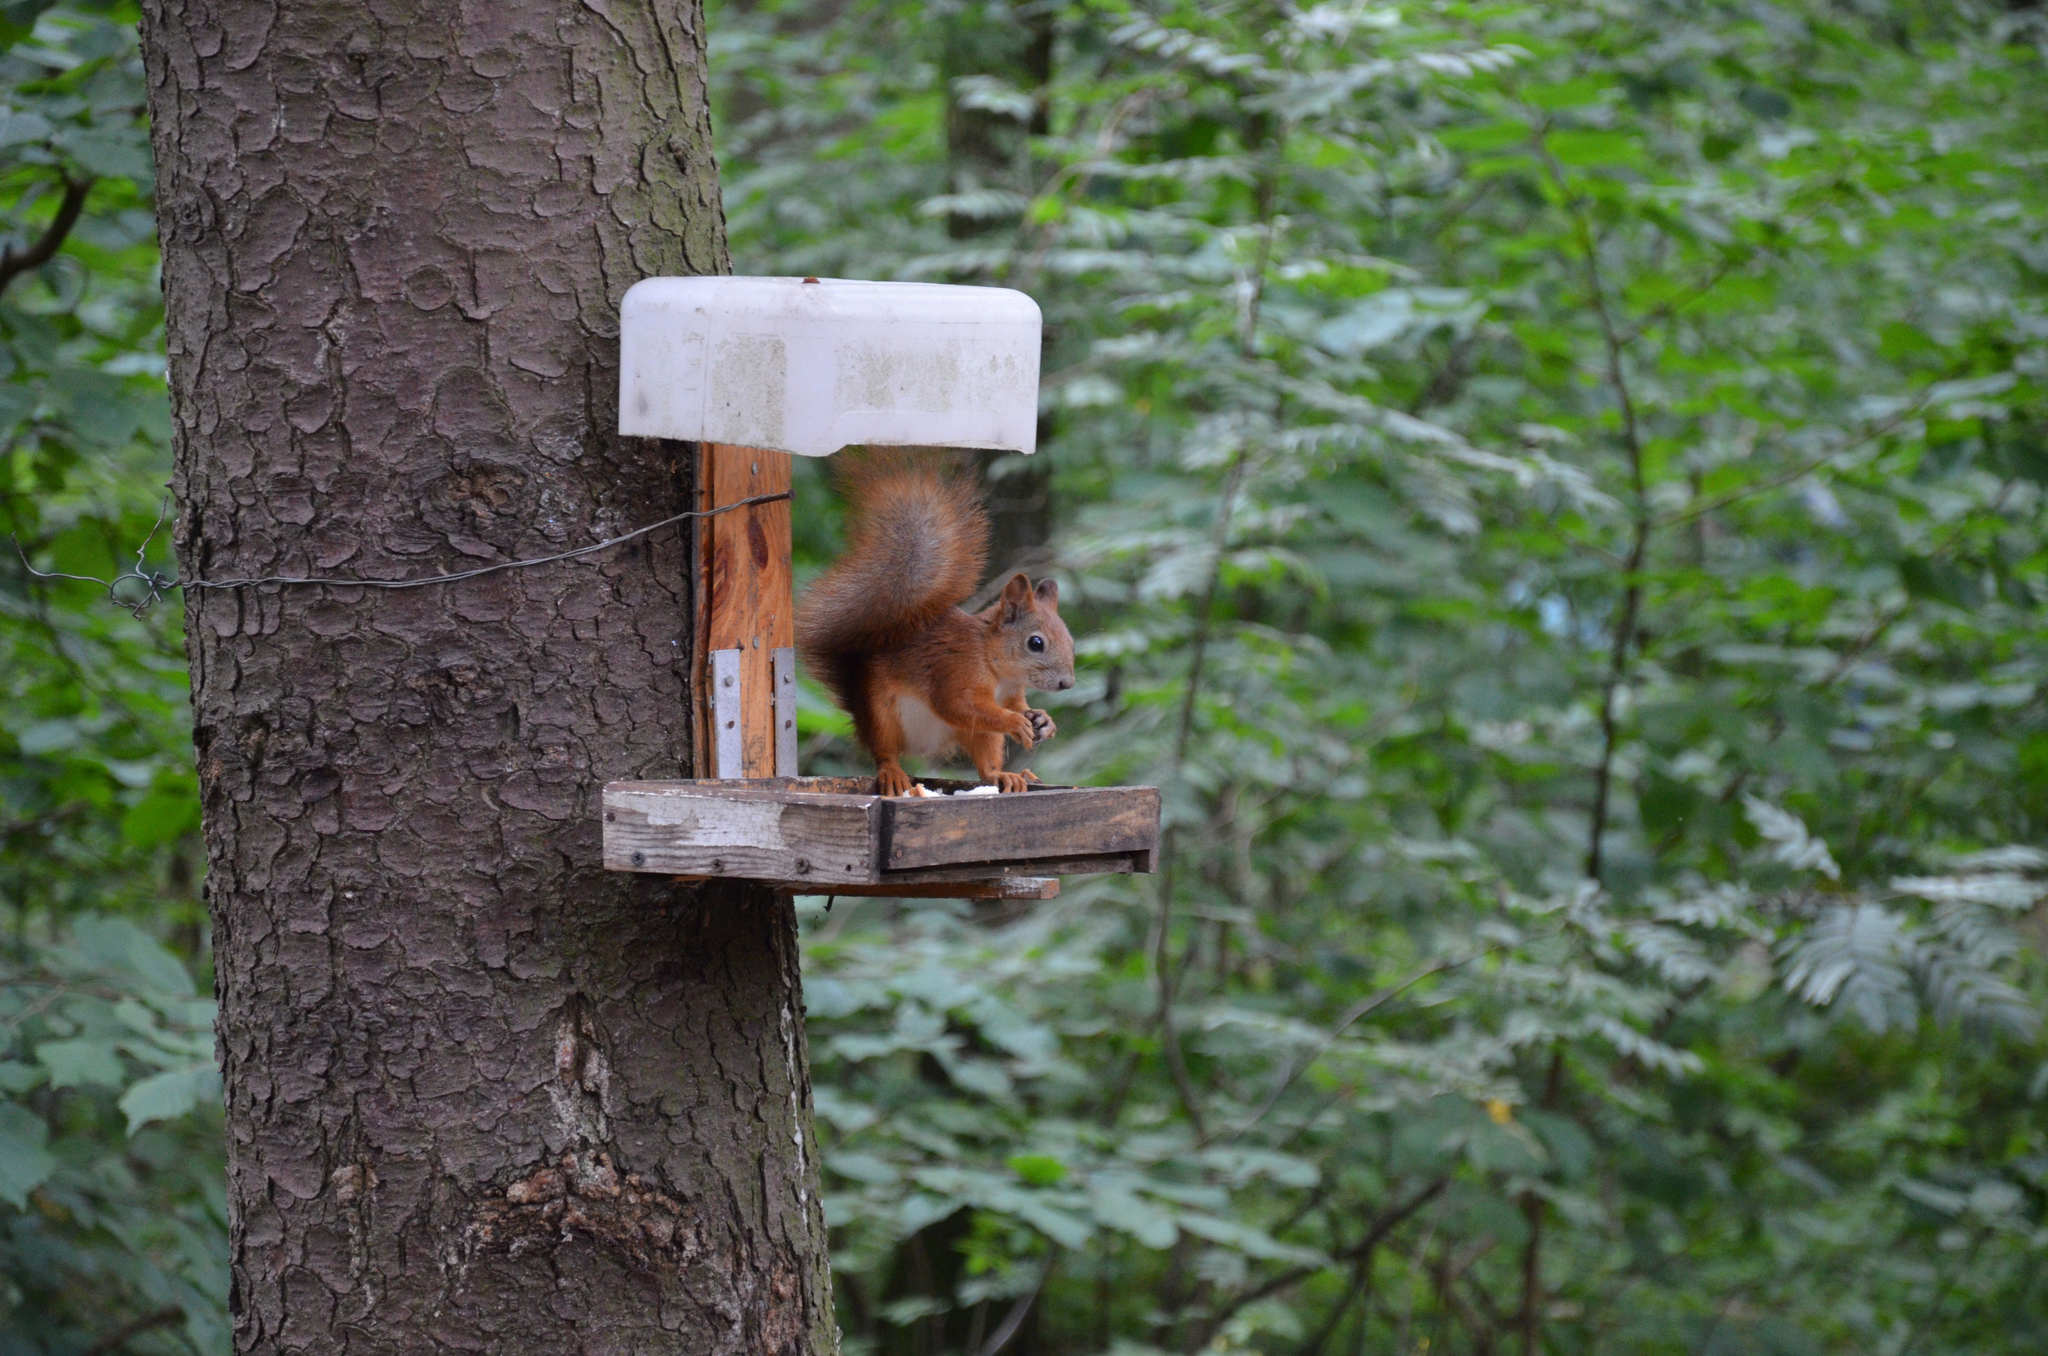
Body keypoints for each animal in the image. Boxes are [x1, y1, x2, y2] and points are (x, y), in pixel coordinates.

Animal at [798, 456, 1081, 798]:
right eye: (1036, 643)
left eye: (1071, 642)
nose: (1067, 683)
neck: (996, 665)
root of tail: (922, 746)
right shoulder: (955, 670)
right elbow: (958, 704)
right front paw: (1016, 722)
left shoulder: (1011, 692)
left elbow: (1015, 706)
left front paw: (1042, 719)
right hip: (881, 712)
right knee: (885, 750)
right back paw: (894, 773)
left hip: (976, 735)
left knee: (986, 762)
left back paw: (1006, 775)